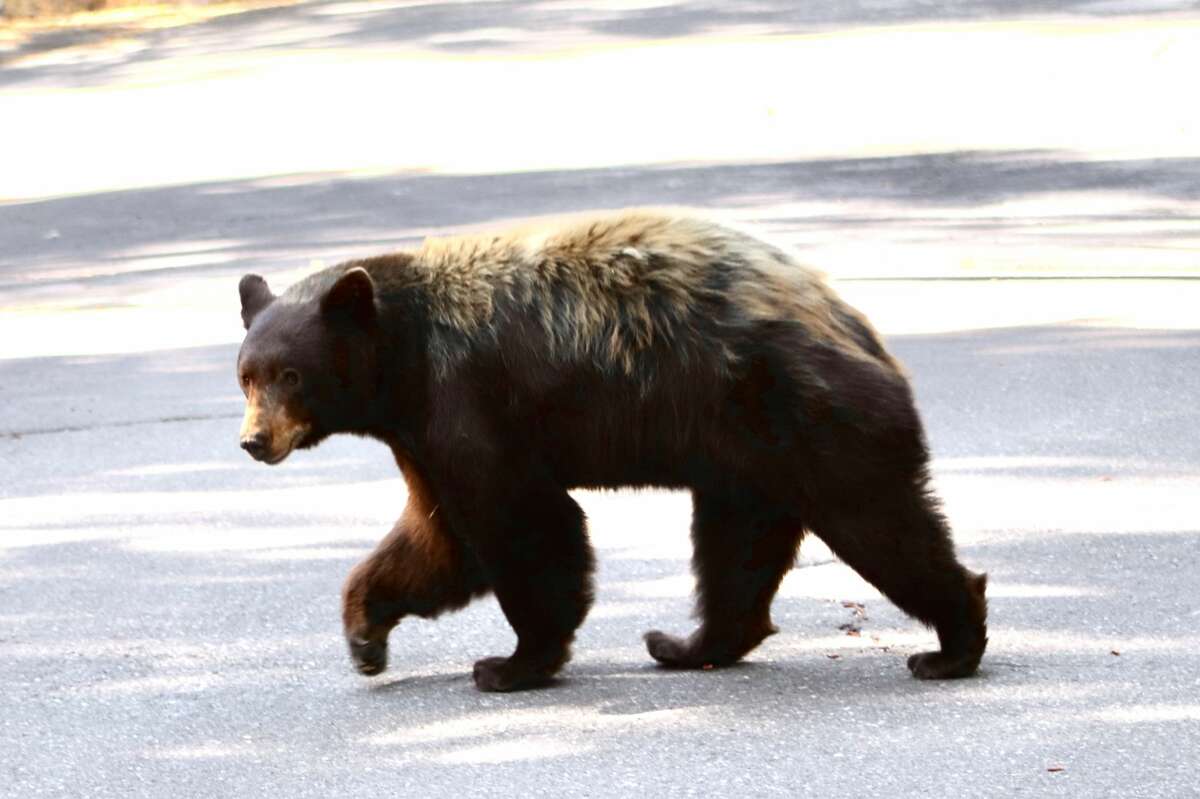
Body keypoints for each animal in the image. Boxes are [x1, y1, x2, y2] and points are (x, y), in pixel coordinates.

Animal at [236, 208, 993, 686]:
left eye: (291, 374)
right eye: (246, 374)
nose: (253, 440)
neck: (404, 356)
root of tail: (852, 321)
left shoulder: (467, 401)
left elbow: (522, 520)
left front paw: (512, 663)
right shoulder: (421, 436)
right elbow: (440, 540)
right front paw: (366, 635)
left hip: (809, 415)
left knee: (878, 521)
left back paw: (951, 646)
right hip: (747, 450)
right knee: (737, 546)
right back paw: (689, 644)